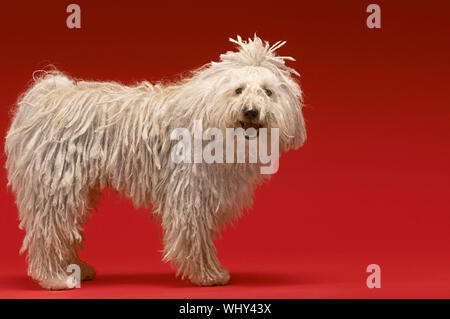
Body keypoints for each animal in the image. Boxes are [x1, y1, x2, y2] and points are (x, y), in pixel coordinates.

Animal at [4, 35, 306, 290]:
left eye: (268, 92)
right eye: (238, 90)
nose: (251, 111)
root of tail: (46, 97)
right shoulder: (190, 192)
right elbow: (194, 235)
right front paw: (208, 274)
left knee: (64, 230)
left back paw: (76, 268)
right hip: (55, 184)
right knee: (48, 232)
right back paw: (56, 278)